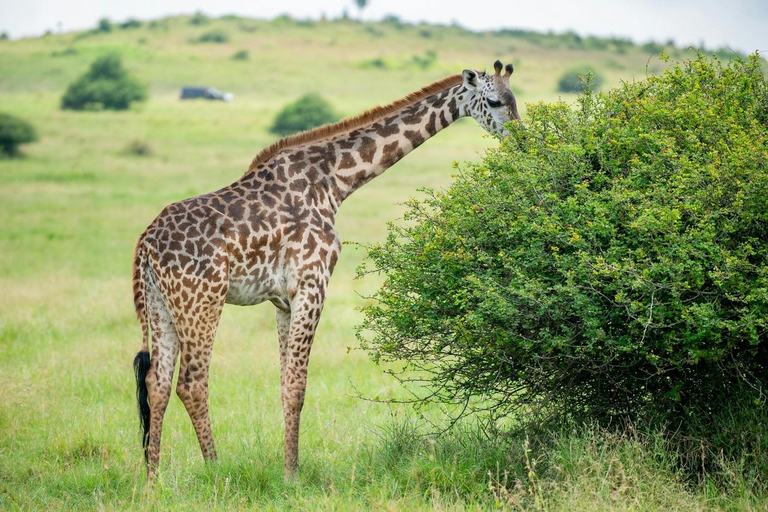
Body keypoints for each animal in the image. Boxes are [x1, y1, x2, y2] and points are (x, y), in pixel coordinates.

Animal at [134, 60, 520, 484]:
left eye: (516, 99)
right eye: (494, 101)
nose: (520, 139)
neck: (335, 181)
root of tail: (146, 244)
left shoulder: (282, 301)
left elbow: (284, 382)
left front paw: (287, 467)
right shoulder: (312, 283)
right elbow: (297, 386)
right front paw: (292, 474)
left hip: (161, 306)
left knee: (157, 383)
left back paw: (153, 480)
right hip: (202, 301)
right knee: (191, 383)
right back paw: (216, 470)